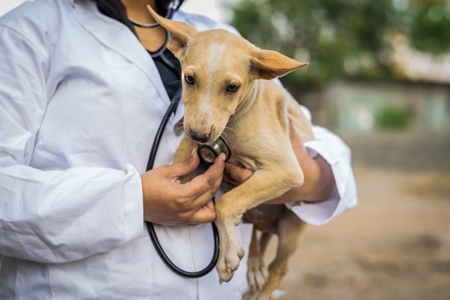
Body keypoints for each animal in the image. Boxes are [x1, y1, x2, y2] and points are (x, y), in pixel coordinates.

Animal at [148, 5, 312, 300]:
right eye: (189, 79)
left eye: (232, 87)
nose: (200, 135)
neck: (232, 125)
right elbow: (183, 156)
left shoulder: (287, 170)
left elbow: (225, 202)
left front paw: (226, 258)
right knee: (258, 237)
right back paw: (254, 267)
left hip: (291, 229)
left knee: (278, 267)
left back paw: (261, 291)